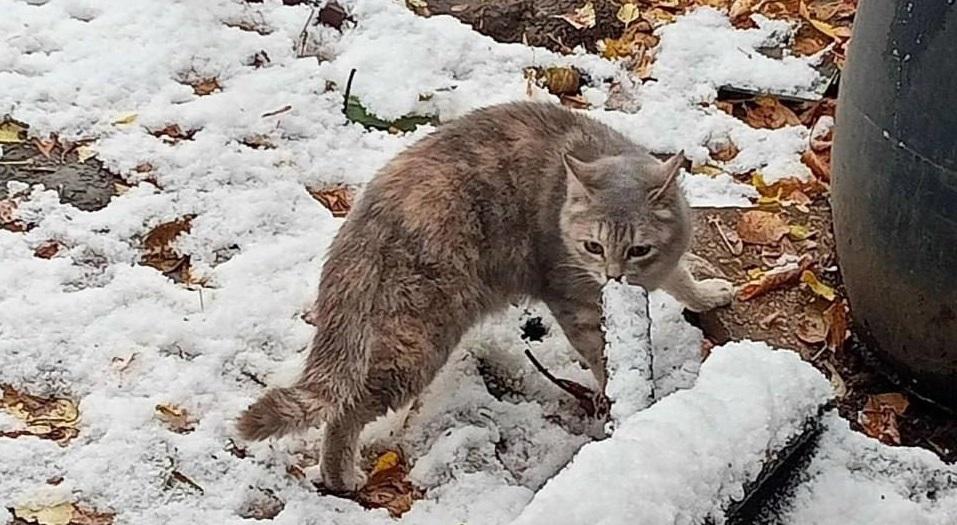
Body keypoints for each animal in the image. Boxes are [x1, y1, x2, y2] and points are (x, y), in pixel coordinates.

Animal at [237, 101, 734, 493]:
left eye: (638, 249)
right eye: (593, 246)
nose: (612, 276)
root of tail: (364, 219)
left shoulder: (659, 266)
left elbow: (680, 278)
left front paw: (704, 293)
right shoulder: (575, 300)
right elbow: (603, 357)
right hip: (413, 344)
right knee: (346, 412)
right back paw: (341, 477)